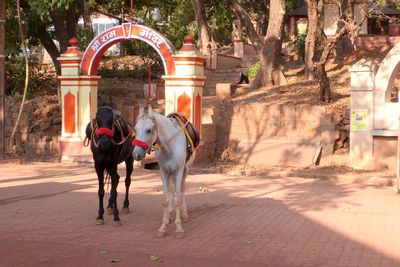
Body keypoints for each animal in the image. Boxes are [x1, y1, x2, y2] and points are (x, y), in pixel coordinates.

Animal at [133, 105, 195, 240]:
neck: (170, 147)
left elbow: (178, 198)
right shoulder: (164, 172)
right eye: (135, 129)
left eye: (149, 130)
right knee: (172, 192)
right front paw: (163, 226)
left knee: (182, 191)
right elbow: (165, 199)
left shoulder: (179, 171)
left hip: (185, 170)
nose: (136, 154)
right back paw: (170, 215)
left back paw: (184, 214)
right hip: (171, 173)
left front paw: (179, 228)